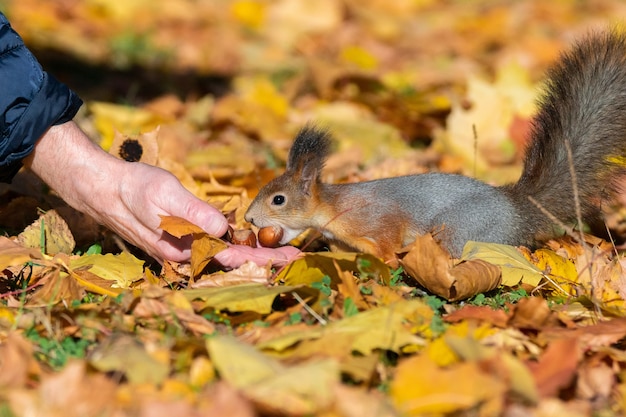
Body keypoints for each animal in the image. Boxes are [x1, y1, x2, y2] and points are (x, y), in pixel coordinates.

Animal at [245, 32, 626, 260]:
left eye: (278, 200)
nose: (248, 218)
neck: (334, 209)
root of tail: (518, 209)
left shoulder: (377, 221)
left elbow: (387, 241)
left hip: (461, 228)